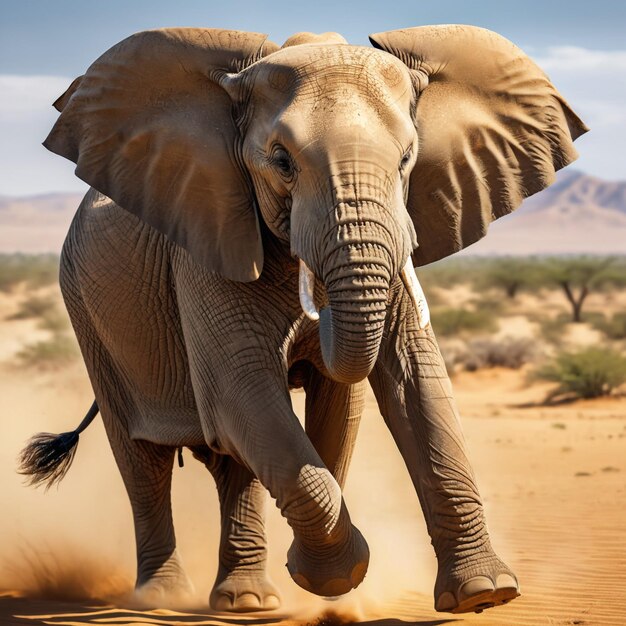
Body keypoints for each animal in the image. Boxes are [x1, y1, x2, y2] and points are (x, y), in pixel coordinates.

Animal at [19, 25, 584, 616]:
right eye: (282, 161)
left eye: (408, 158)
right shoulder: (206, 237)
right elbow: (243, 389)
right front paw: (335, 576)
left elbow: (405, 383)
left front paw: (484, 594)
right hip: (86, 314)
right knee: (143, 459)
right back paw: (162, 599)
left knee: (233, 460)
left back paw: (246, 602)